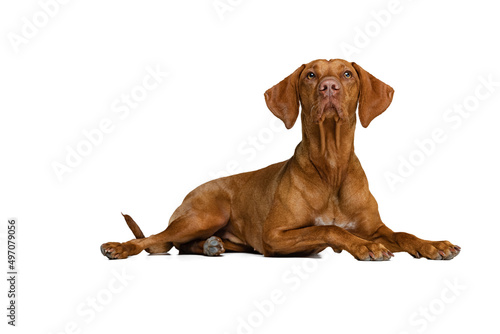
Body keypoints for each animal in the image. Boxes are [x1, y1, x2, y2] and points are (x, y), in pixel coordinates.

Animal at [101, 59, 460, 260]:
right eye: (311, 75)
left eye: (347, 74)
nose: (329, 87)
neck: (331, 166)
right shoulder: (276, 235)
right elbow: (329, 229)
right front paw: (362, 248)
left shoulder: (375, 228)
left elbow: (403, 235)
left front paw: (433, 244)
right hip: (204, 215)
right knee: (157, 240)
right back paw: (121, 247)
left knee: (184, 244)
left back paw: (210, 247)